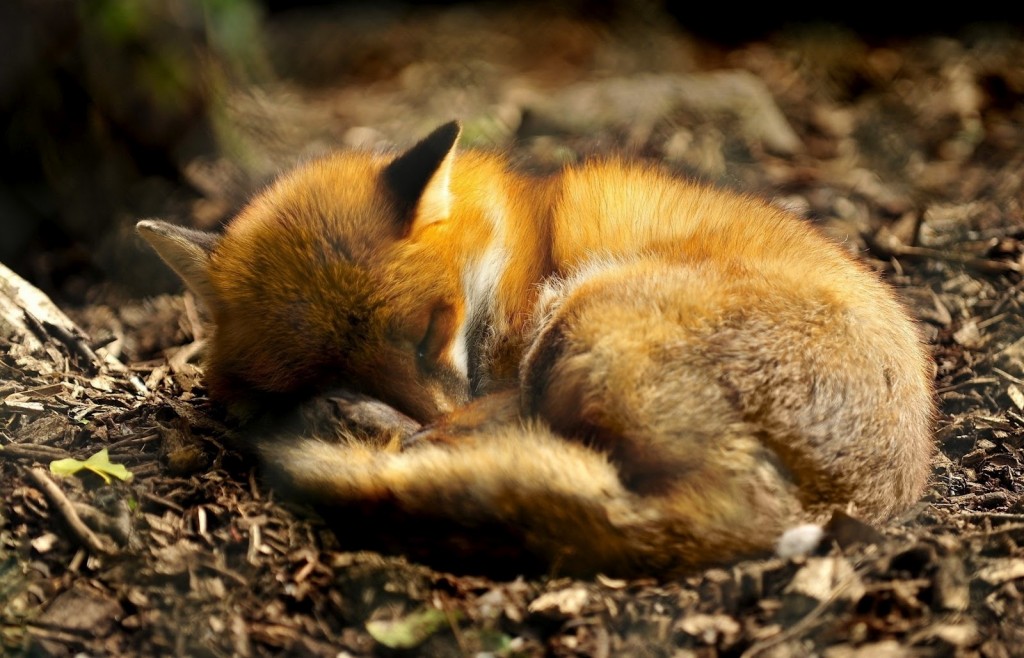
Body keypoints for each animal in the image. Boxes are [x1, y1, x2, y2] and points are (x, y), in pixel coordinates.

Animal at [136, 120, 935, 578]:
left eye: (430, 332)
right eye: (316, 367)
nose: (423, 414)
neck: (514, 247)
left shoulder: (508, 357)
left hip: (585, 318)